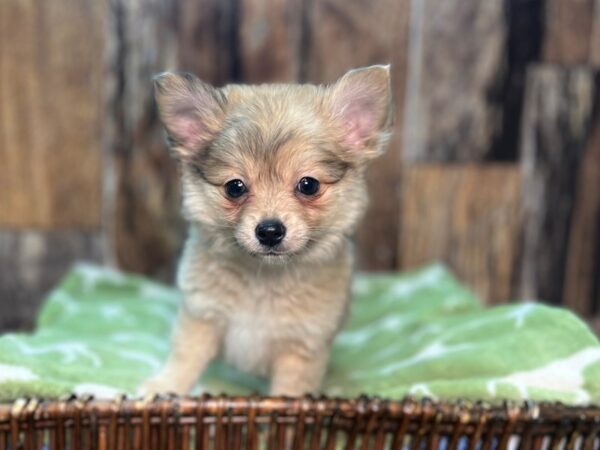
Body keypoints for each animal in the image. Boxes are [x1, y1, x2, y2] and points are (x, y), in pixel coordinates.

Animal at [141, 65, 394, 396]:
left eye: (308, 185)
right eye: (235, 187)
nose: (270, 231)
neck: (264, 279)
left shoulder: (302, 348)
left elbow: (289, 390)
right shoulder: (201, 316)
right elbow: (185, 356)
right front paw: (165, 386)